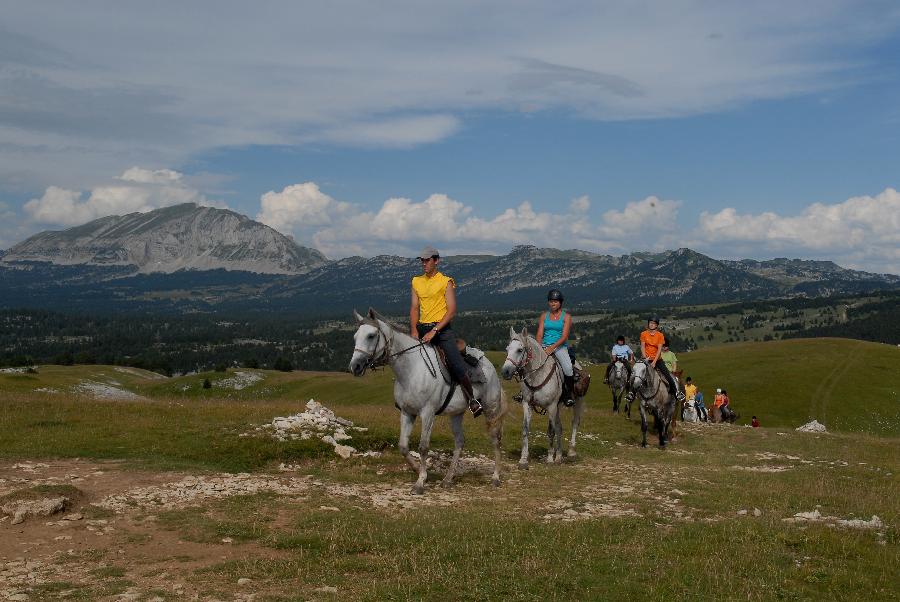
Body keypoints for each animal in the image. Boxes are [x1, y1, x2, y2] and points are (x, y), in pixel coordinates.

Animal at [348, 310, 506, 492]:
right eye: (355, 337)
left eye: (371, 335)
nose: (355, 367)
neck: (412, 370)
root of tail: (489, 365)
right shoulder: (407, 412)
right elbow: (403, 446)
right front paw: (419, 471)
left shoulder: (427, 413)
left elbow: (423, 447)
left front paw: (420, 482)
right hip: (456, 413)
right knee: (459, 441)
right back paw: (448, 478)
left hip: (490, 408)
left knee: (495, 438)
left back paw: (495, 477)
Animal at [496, 326, 588, 466]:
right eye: (507, 349)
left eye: (520, 350)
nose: (505, 372)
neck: (537, 375)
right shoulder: (527, 404)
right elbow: (525, 429)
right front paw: (523, 459)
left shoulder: (551, 406)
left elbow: (550, 431)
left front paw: (549, 459)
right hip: (558, 408)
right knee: (559, 428)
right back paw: (559, 456)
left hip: (577, 402)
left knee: (574, 422)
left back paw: (571, 452)